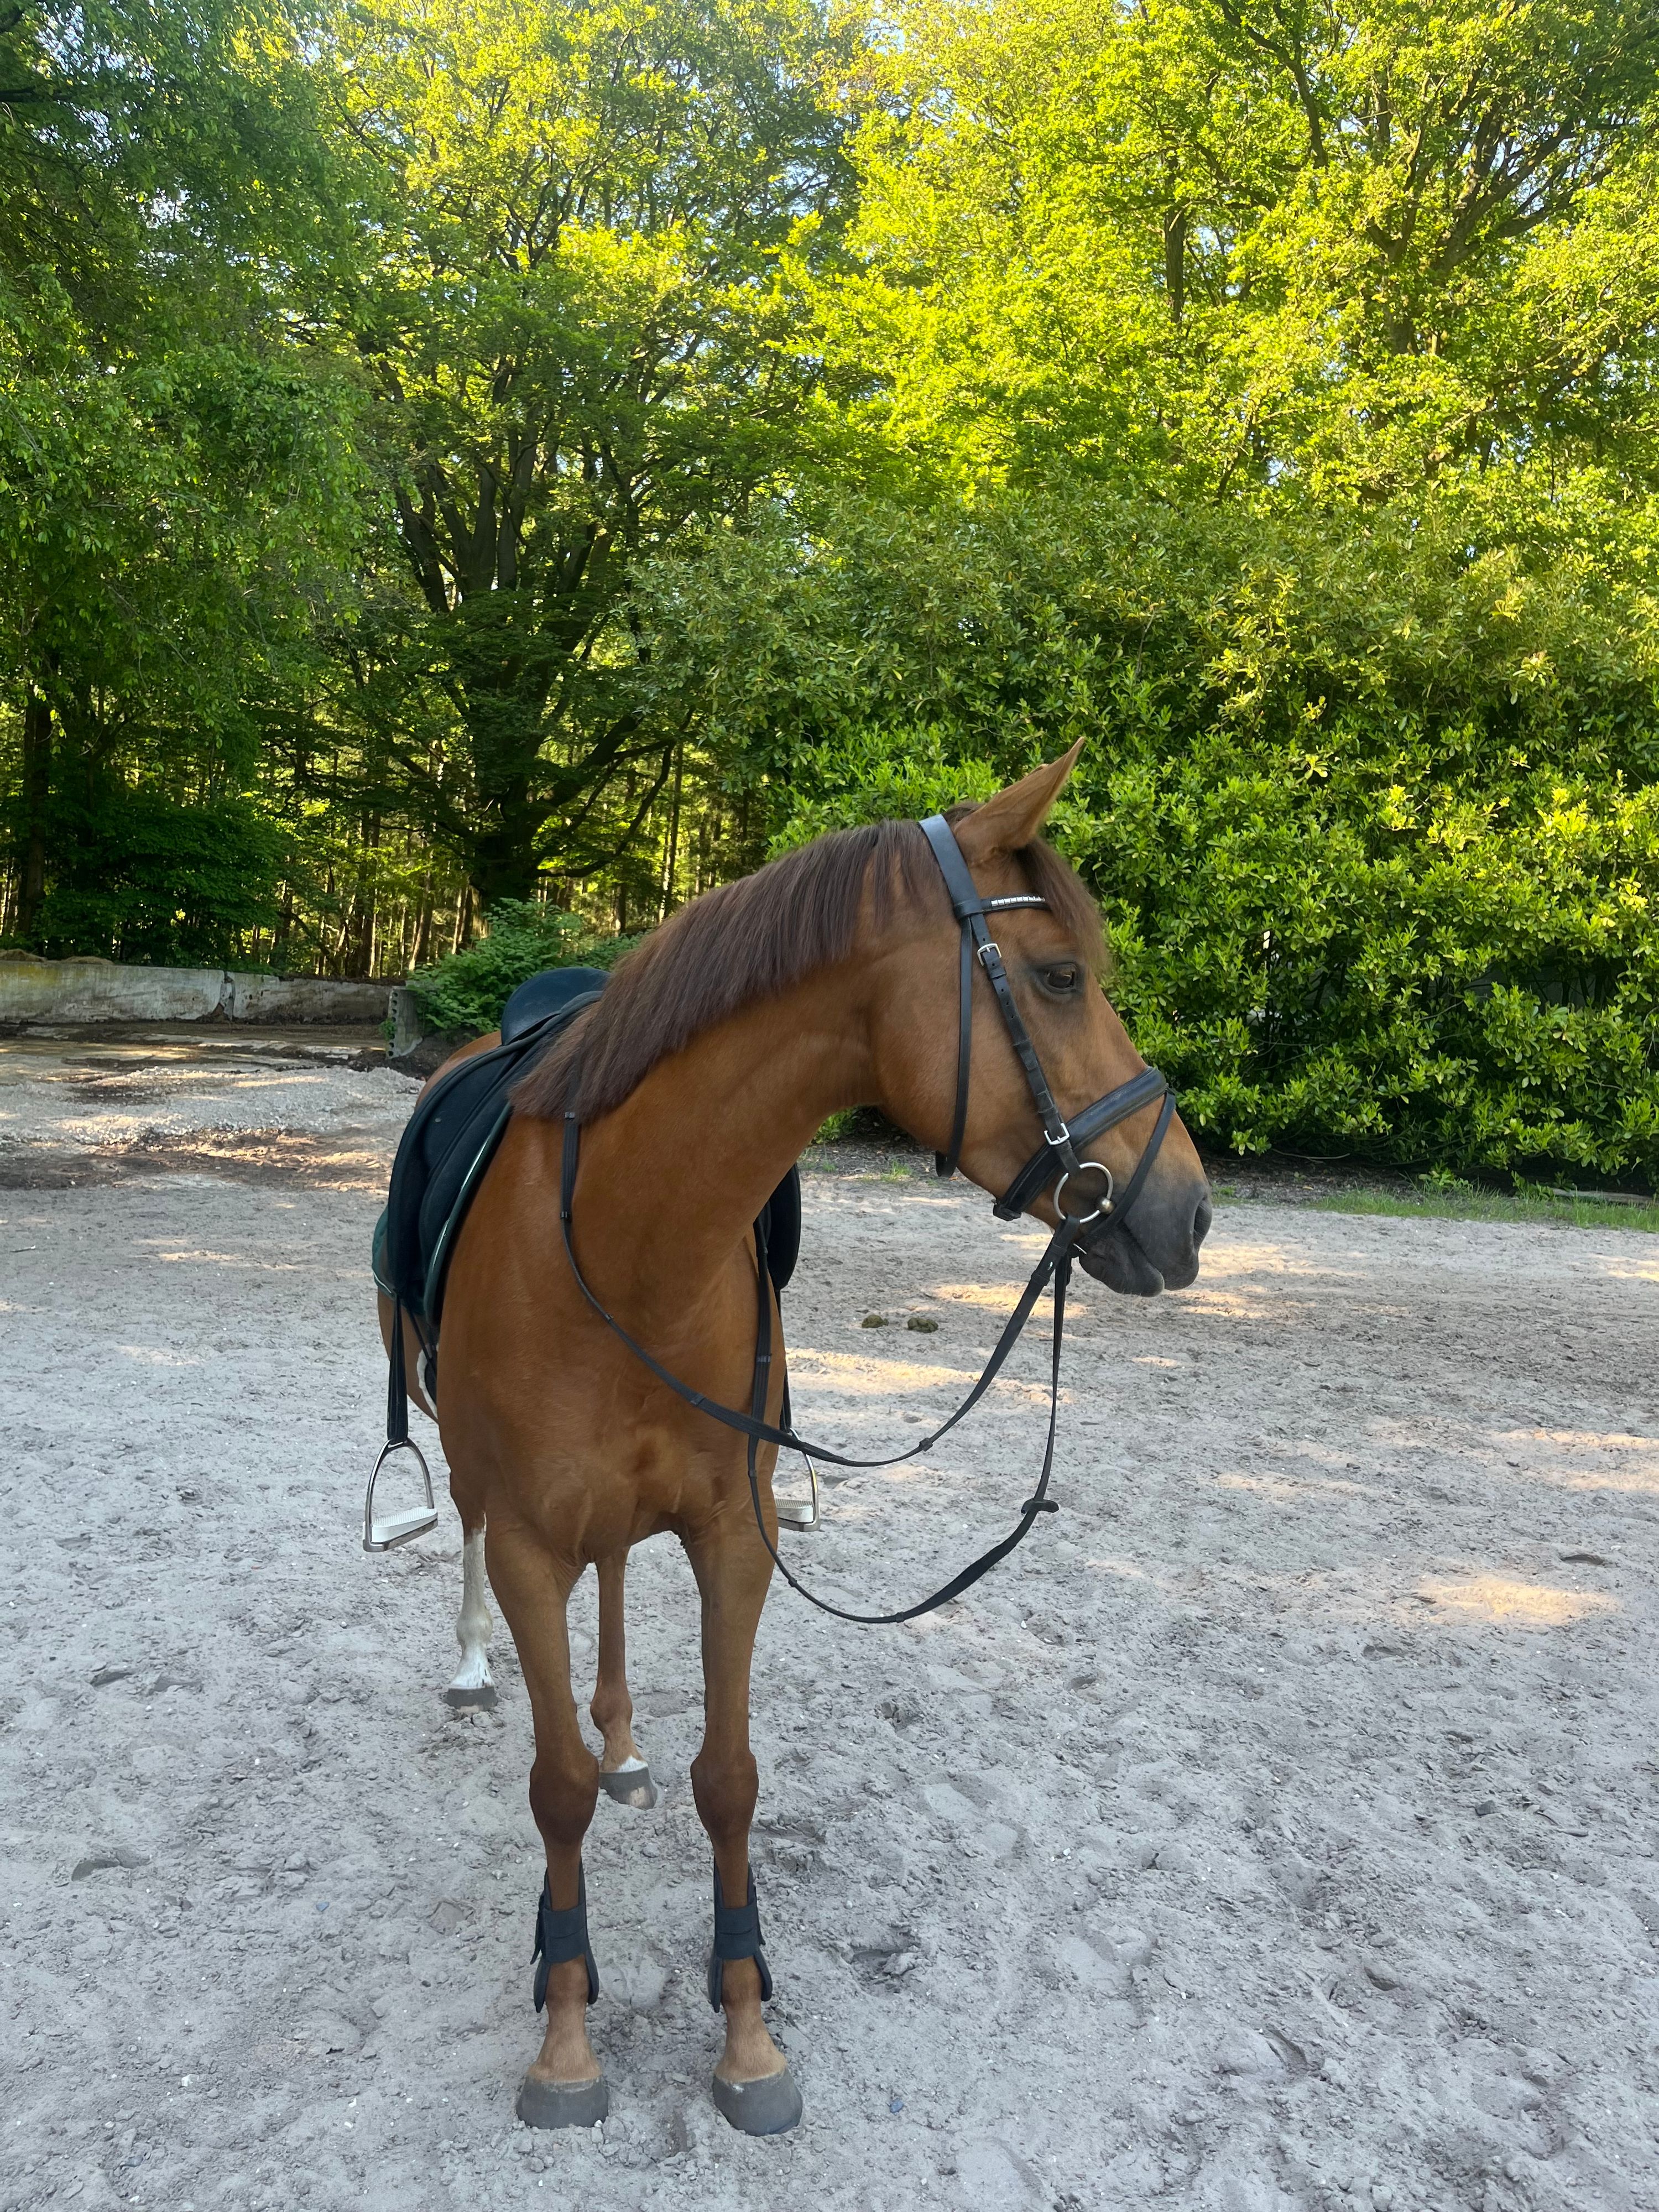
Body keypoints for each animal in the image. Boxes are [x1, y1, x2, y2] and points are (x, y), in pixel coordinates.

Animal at [375, 742, 1211, 2135]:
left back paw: (626, 1739)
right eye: (1057, 976)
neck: (630, 1242)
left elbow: (729, 1777)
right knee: (478, 1543)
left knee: (618, 1591)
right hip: (472, 1470)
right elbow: (552, 1786)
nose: (1188, 1210)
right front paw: (566, 2032)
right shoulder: (537, 1545)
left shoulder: (731, 1537)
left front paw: (748, 2031)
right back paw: (475, 1665)